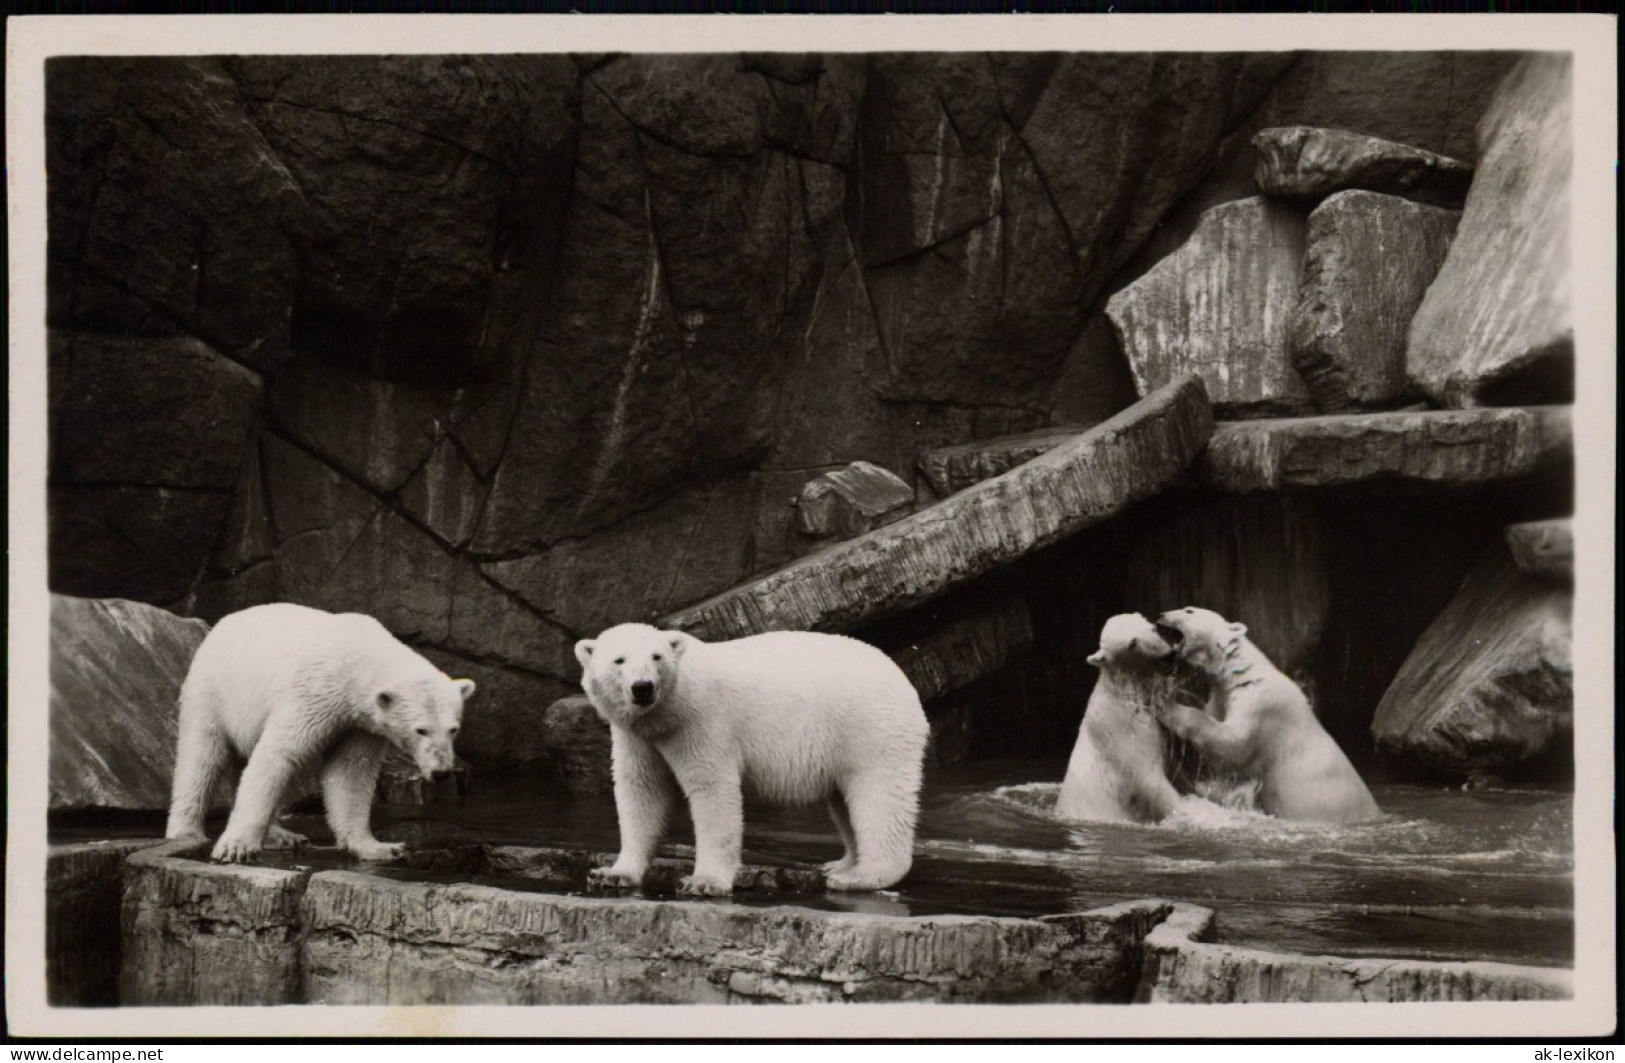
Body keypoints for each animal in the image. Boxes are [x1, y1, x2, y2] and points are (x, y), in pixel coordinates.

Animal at [166, 598, 474, 864]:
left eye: (453, 730)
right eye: (421, 730)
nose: (441, 772)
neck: (359, 658)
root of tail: (221, 624)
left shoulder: (360, 725)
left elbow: (351, 773)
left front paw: (380, 847)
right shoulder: (312, 695)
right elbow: (278, 755)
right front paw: (236, 848)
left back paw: (283, 836)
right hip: (212, 691)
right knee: (201, 756)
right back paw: (186, 833)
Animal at [575, 624, 929, 897]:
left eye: (656, 657)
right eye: (619, 659)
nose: (643, 688)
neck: (667, 710)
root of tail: (904, 682)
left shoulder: (702, 723)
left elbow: (713, 791)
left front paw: (703, 882)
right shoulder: (638, 738)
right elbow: (641, 791)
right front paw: (613, 873)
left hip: (872, 730)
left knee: (878, 798)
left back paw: (860, 876)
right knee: (845, 802)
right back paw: (840, 864)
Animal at [1150, 607, 1378, 825]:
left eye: (1189, 610)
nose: (1160, 615)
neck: (1244, 673)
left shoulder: (1262, 705)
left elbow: (1232, 744)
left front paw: (1164, 702)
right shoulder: (1222, 696)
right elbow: (1214, 715)